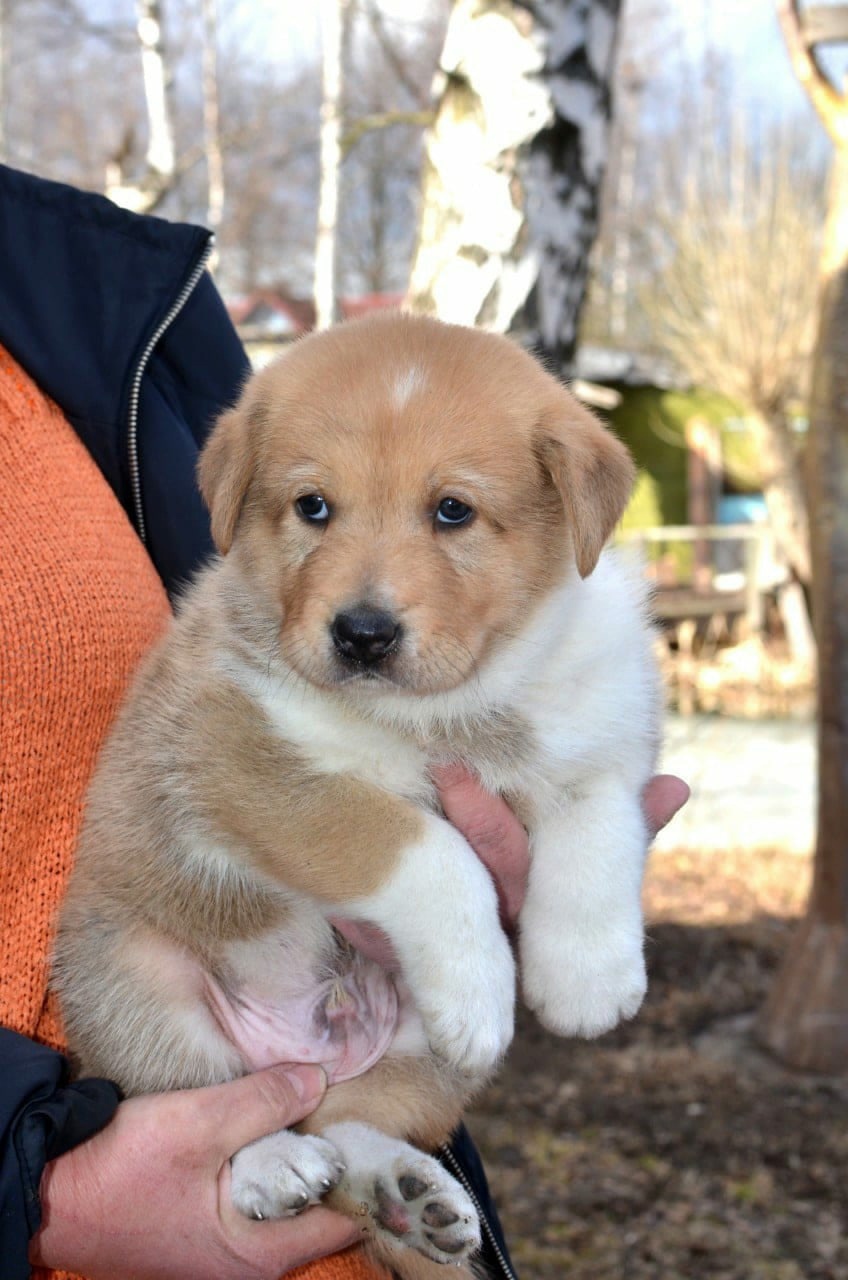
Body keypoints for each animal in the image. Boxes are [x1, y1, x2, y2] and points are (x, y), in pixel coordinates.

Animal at [53, 312, 666, 1280]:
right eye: (313, 507)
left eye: (452, 510)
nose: (363, 634)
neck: (451, 711)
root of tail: (311, 1044)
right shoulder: (251, 760)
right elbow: (425, 849)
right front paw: (481, 987)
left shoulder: (607, 727)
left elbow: (599, 828)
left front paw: (588, 980)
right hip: (137, 983)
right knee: (213, 1101)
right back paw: (272, 1166)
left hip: (420, 1064)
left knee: (348, 1125)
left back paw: (406, 1197)